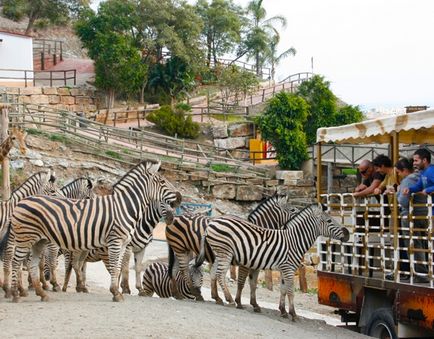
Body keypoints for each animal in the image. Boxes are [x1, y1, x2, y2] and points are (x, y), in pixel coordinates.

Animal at [3, 161, 181, 302]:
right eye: (163, 181)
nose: (179, 198)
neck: (124, 207)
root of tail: (21, 201)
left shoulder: (124, 244)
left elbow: (119, 268)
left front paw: (119, 291)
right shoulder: (115, 241)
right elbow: (116, 267)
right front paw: (116, 293)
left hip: (37, 241)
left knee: (31, 263)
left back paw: (41, 293)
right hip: (26, 239)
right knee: (16, 261)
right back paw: (16, 293)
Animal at [196, 205, 350, 322]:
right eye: (329, 221)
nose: (347, 234)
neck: (294, 241)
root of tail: (212, 221)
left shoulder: (284, 268)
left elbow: (282, 289)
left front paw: (283, 311)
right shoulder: (288, 268)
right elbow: (290, 291)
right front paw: (293, 314)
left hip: (219, 252)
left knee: (214, 273)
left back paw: (218, 298)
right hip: (225, 251)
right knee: (220, 274)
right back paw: (229, 299)